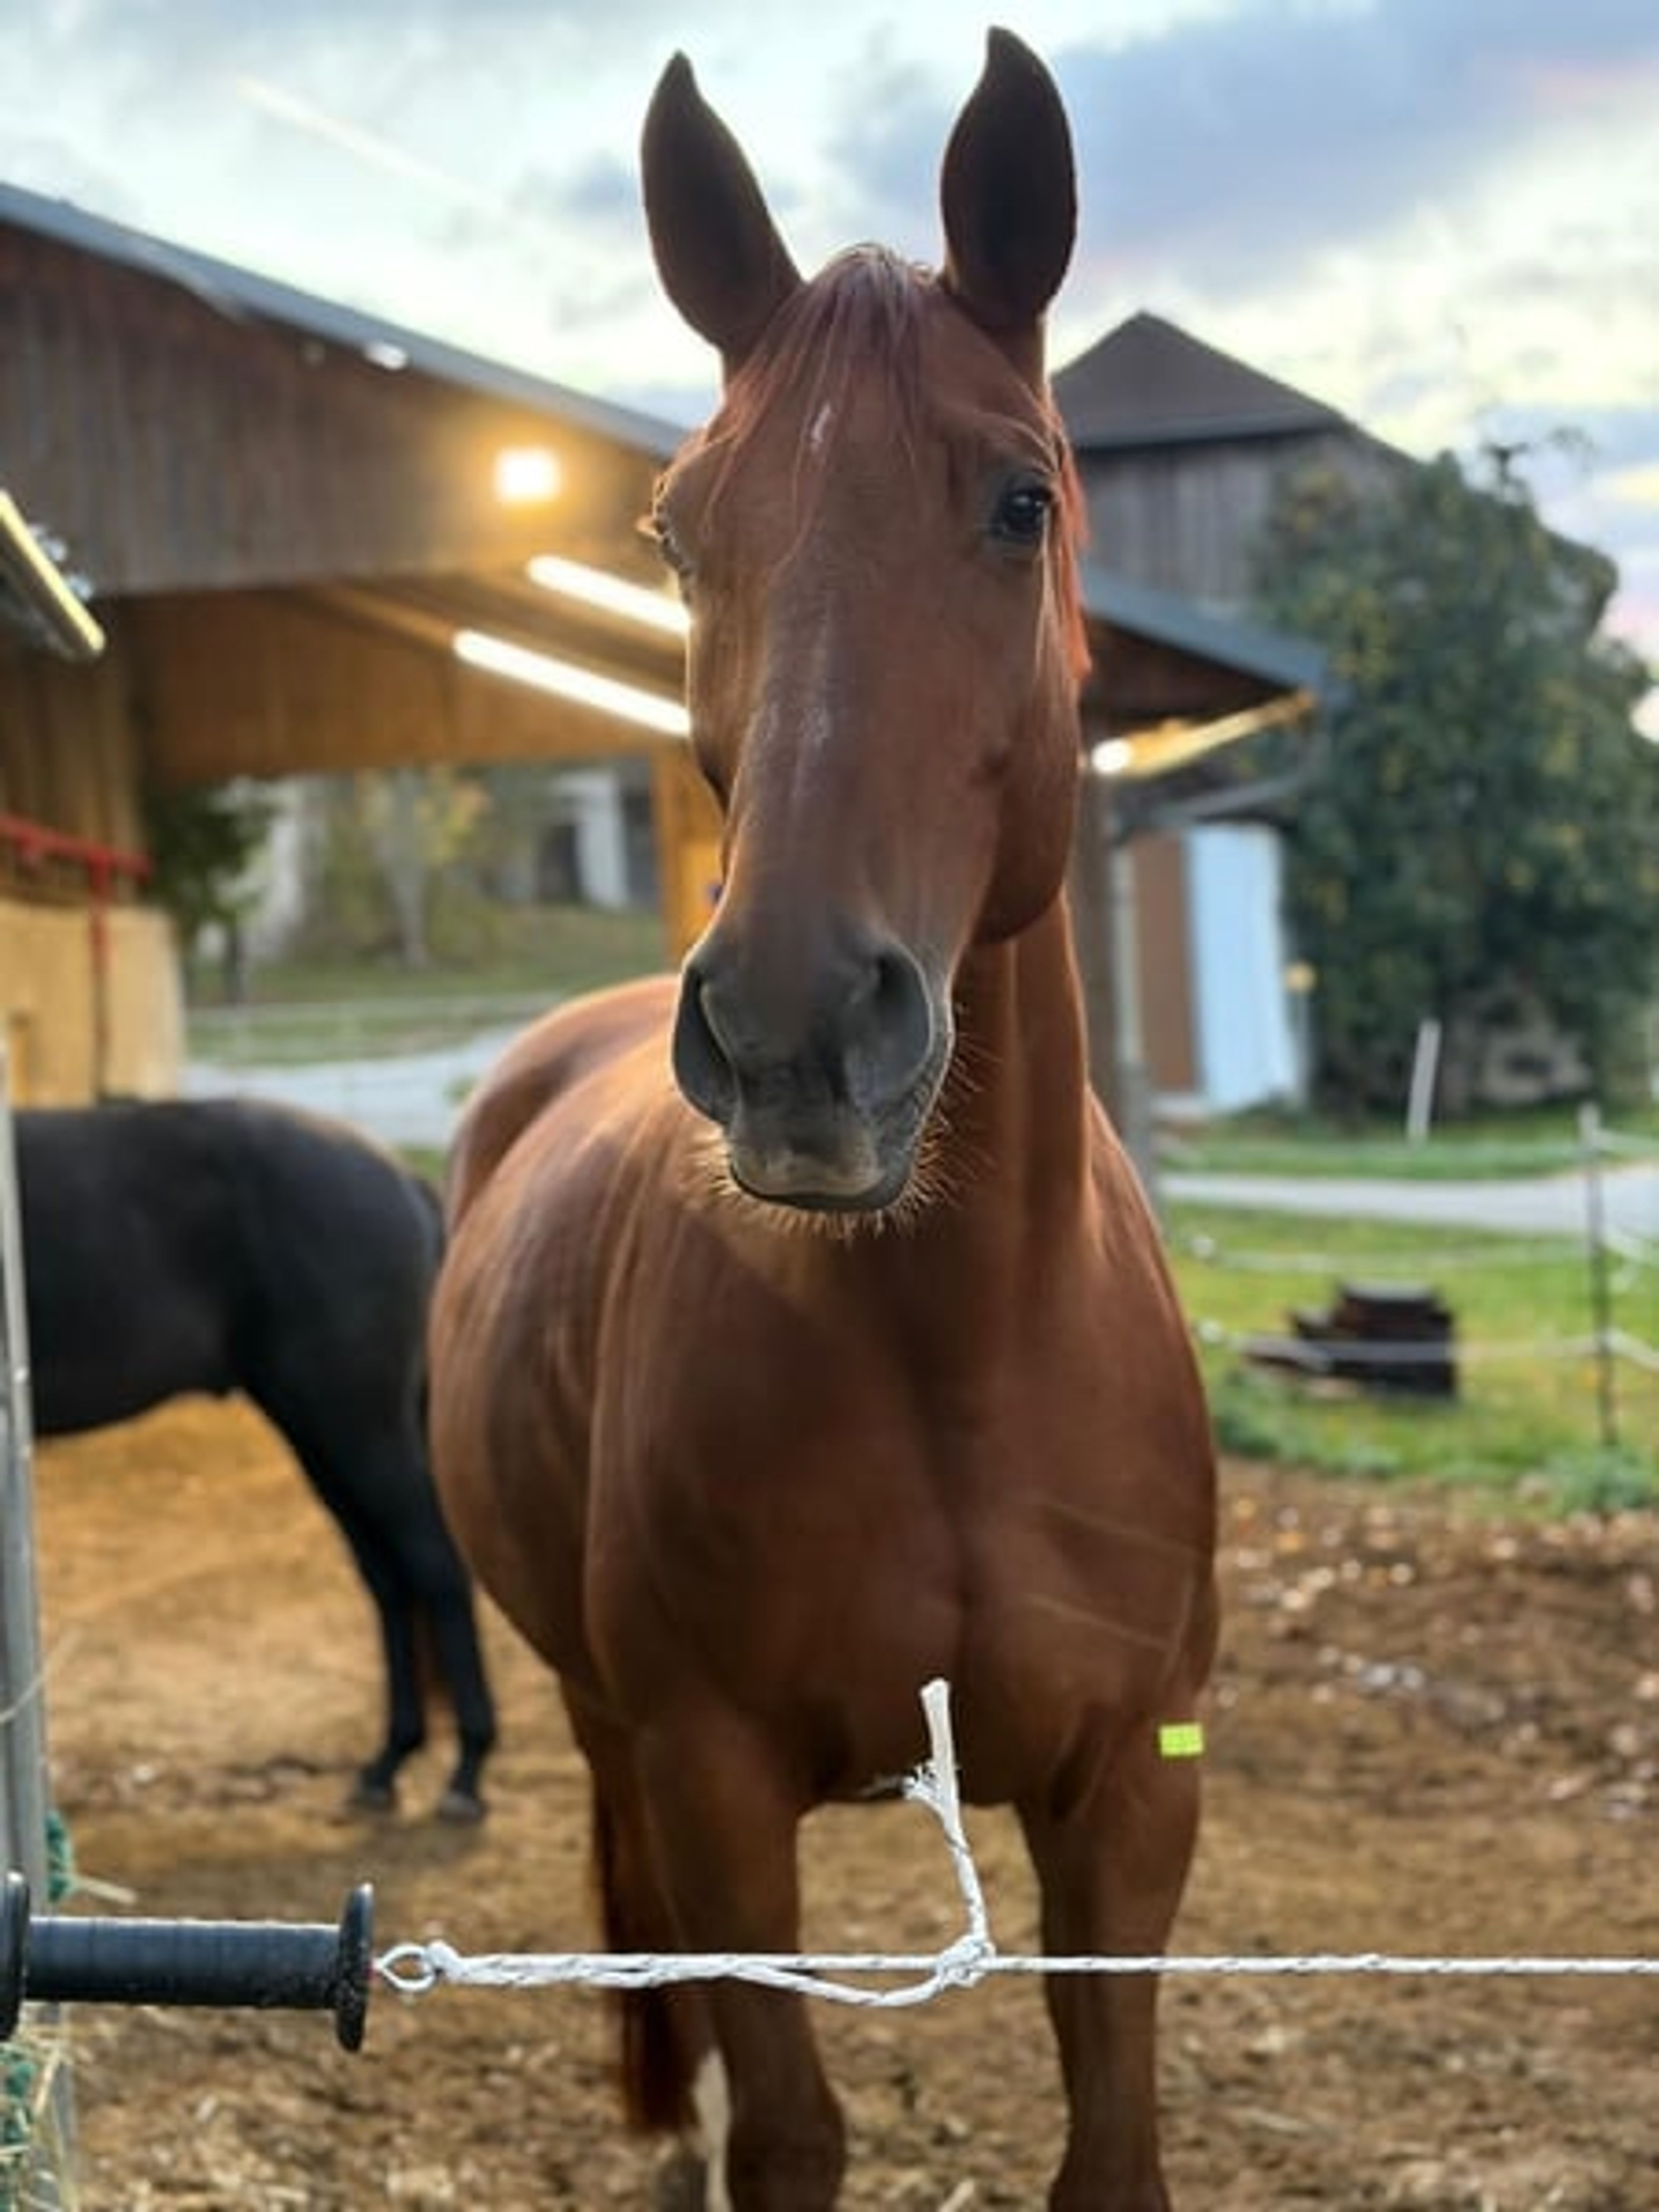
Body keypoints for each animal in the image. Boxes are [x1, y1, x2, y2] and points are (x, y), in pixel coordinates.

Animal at [18, 1095, 497, 1820]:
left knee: (433, 1564)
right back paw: (388, 1764)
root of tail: (398, 1176)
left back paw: (466, 1771)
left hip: (358, 1425)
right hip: (318, 1430)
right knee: (385, 1576)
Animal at [429, 29, 1217, 2207]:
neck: (954, 1348)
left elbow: (1110, 2141)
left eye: (1021, 501)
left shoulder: (1129, 1800)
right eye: (681, 534)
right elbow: (782, 2120)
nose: (791, 1028)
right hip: (610, 1729)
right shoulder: (712, 1776)